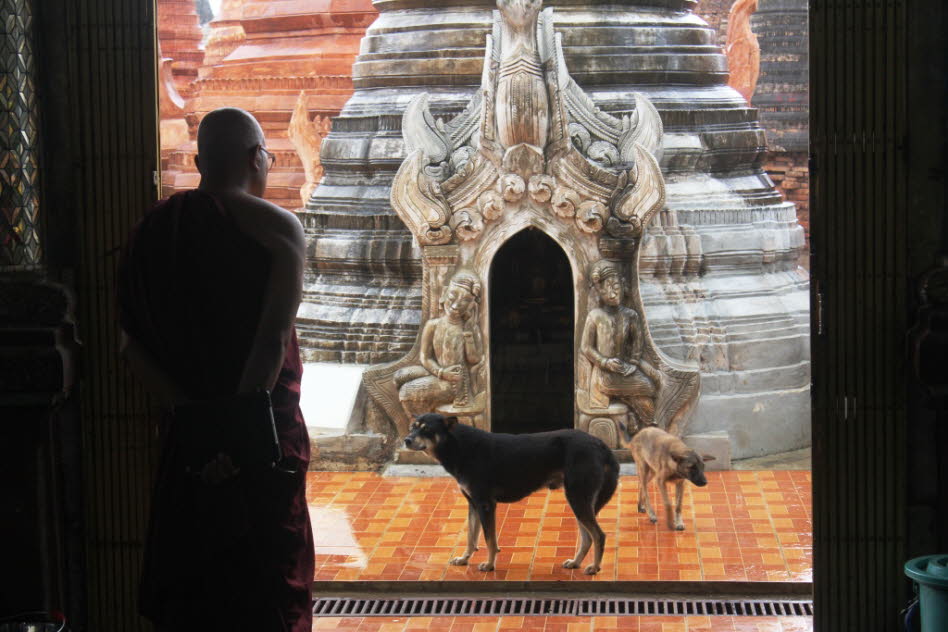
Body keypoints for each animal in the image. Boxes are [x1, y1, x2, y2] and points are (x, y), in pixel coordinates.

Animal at [402, 412, 620, 576]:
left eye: (427, 429)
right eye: (413, 427)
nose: (406, 440)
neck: (458, 445)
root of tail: (600, 445)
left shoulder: (485, 504)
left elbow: (489, 539)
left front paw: (489, 565)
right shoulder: (473, 504)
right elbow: (472, 537)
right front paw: (464, 559)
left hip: (578, 499)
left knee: (598, 535)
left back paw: (594, 567)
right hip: (579, 502)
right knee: (587, 538)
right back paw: (576, 563)